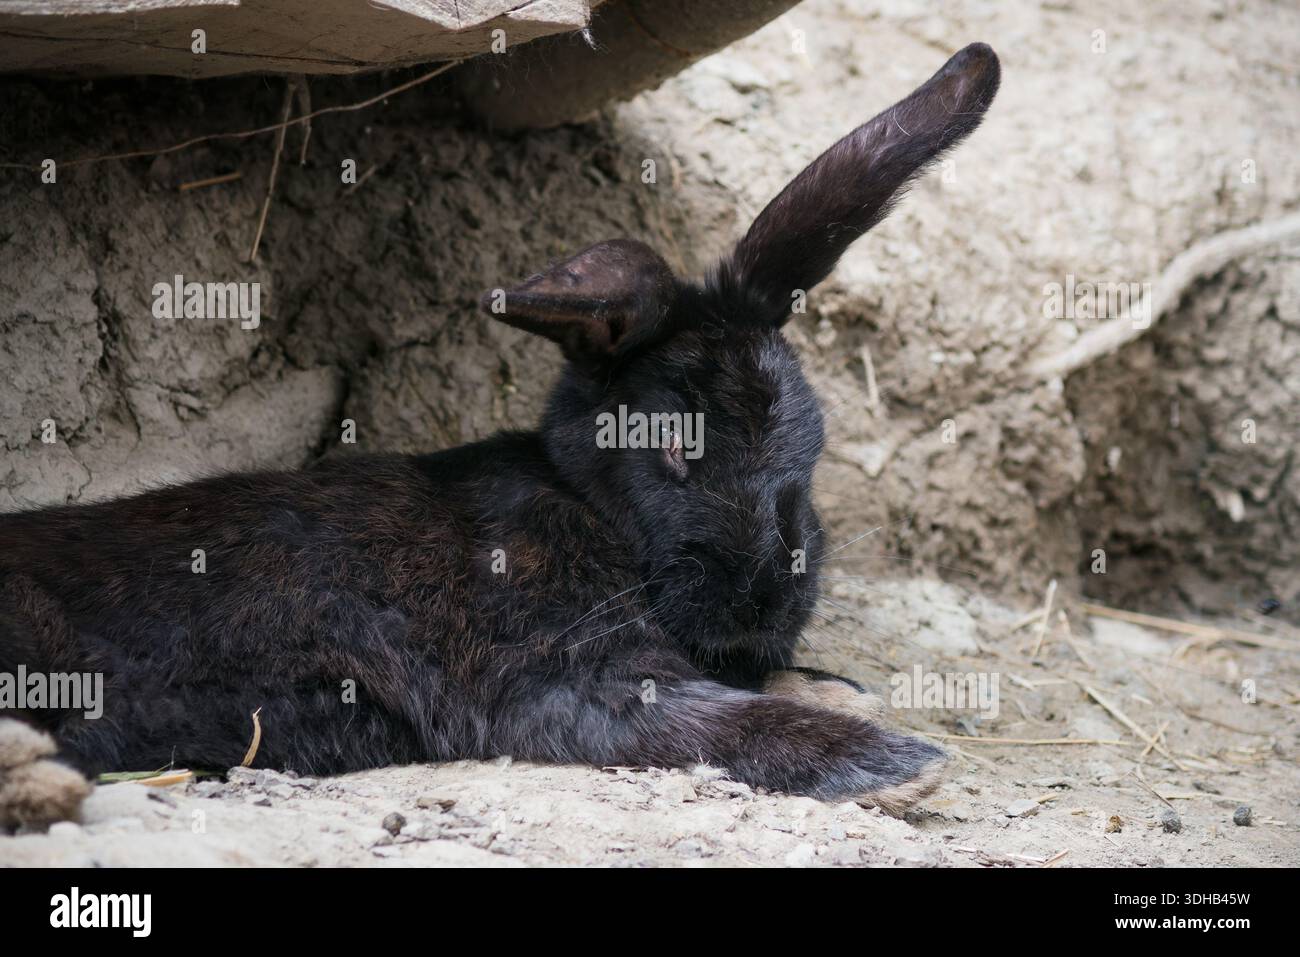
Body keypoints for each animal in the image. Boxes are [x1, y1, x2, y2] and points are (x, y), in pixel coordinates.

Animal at [0, 42, 1000, 825]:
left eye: (811, 448)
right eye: (674, 448)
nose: (765, 606)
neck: (589, 508)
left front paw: (838, 686)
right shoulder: (568, 679)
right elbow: (719, 719)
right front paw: (901, 766)